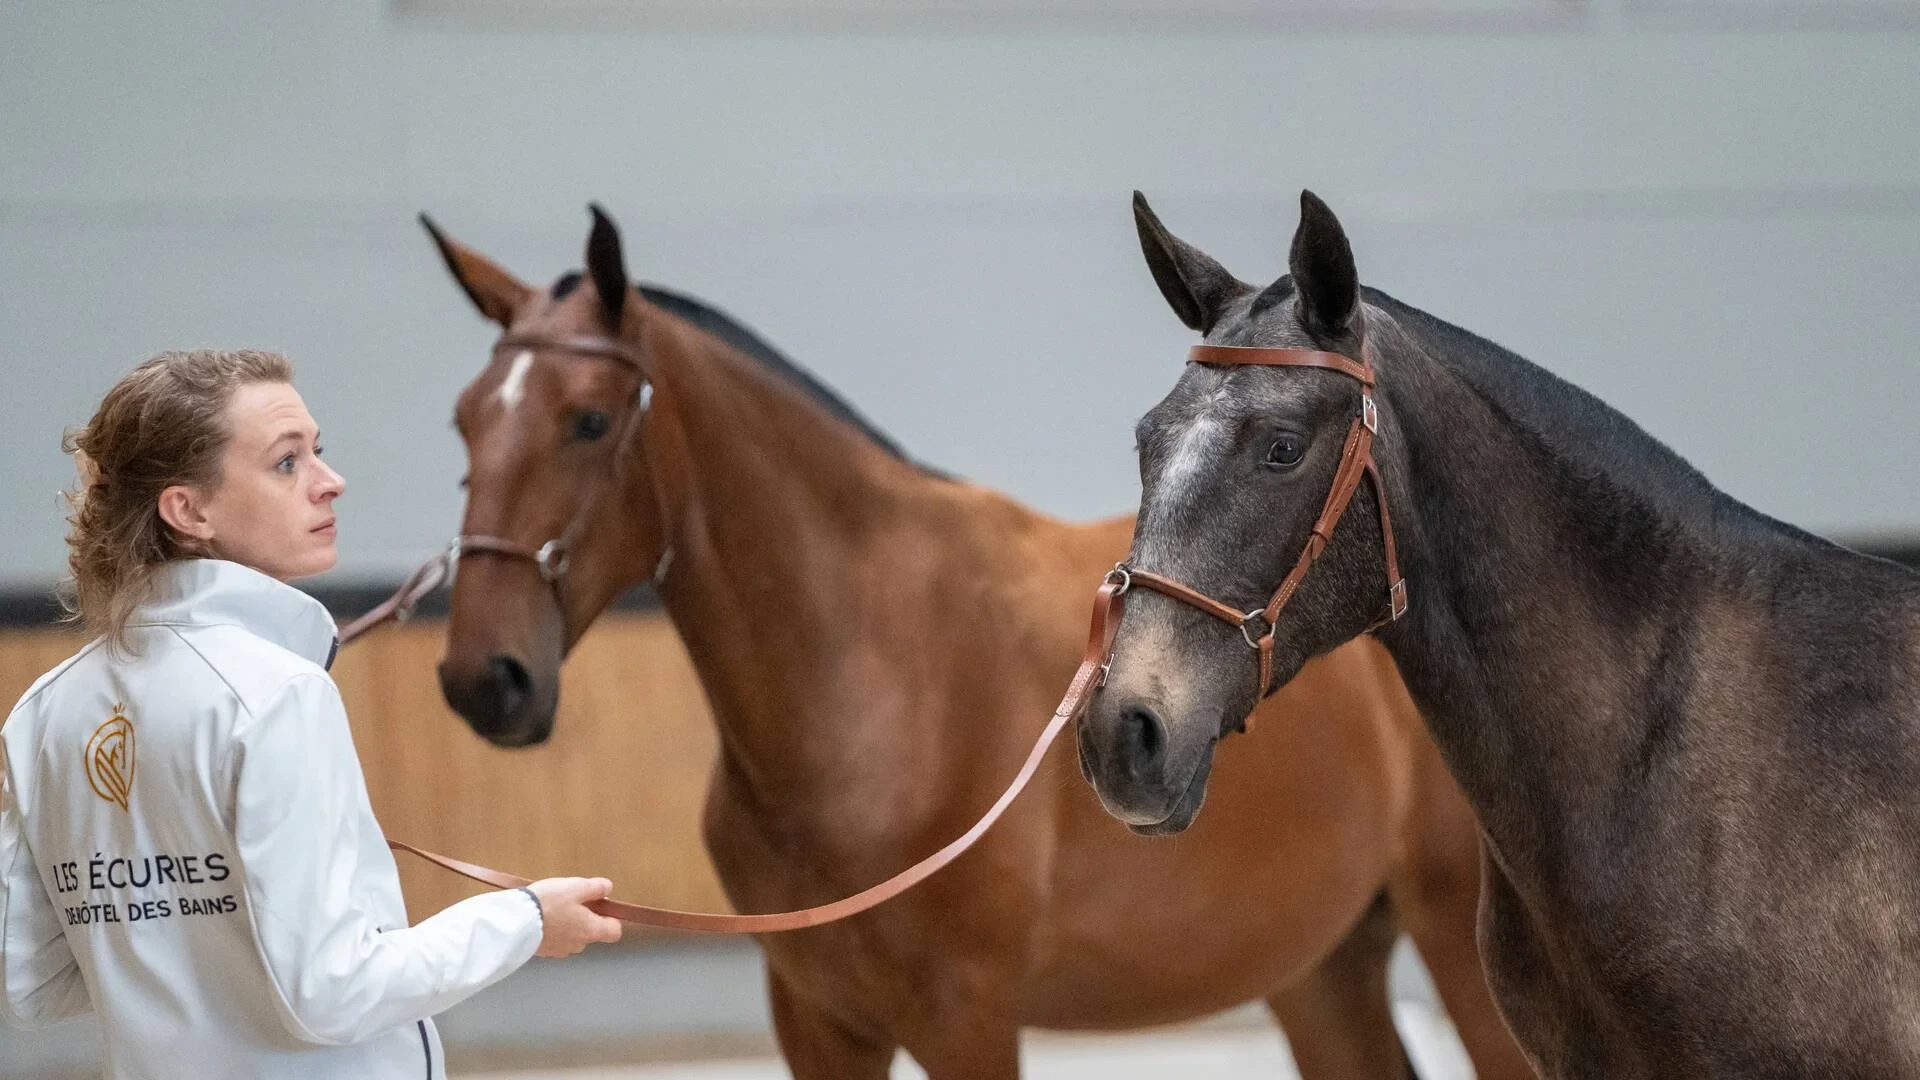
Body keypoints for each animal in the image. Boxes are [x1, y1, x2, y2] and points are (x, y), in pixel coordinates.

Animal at [420, 205, 1531, 1080]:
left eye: (589, 421)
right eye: (465, 423)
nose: (486, 679)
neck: (871, 688)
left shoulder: (965, 1019)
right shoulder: (817, 1021)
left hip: (1459, 953)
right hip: (1320, 968)